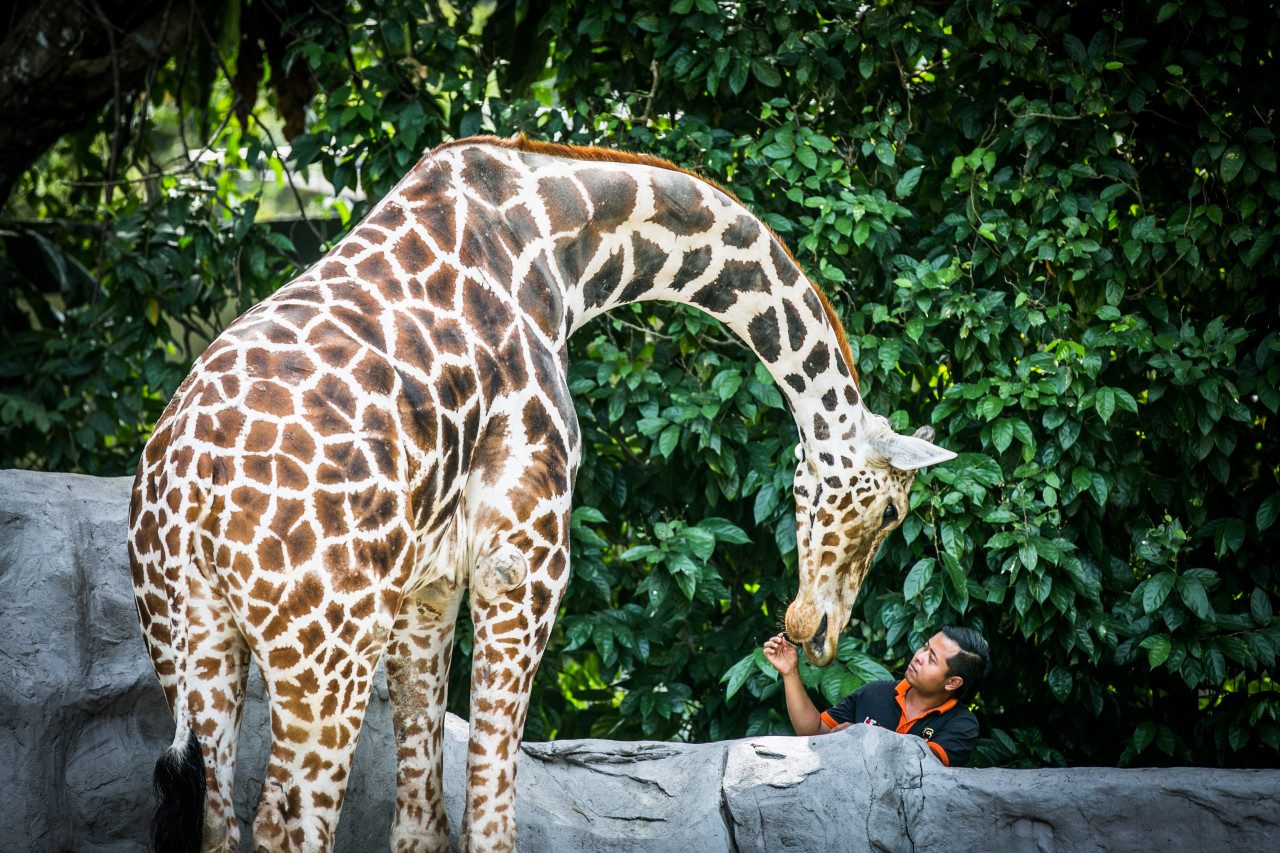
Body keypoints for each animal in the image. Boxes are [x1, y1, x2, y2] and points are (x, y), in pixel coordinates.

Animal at [127, 133, 952, 850]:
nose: (819, 630)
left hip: (189, 641)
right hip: (325, 650)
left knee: (217, 819)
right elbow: (492, 821)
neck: (563, 243)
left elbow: (422, 822)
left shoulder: (428, 586)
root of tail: (185, 490)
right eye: (891, 511)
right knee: (287, 823)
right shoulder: (521, 560)